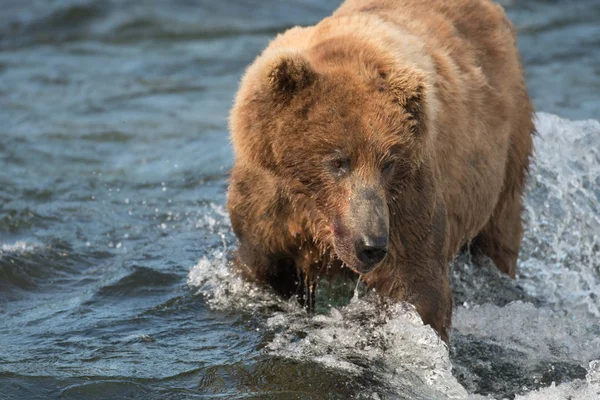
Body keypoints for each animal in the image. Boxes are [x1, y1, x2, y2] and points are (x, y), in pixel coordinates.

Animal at [226, 0, 536, 344]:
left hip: (506, 158)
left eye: (388, 163)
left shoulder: (405, 202)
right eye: (338, 161)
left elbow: (418, 287)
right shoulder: (269, 205)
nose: (371, 246)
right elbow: (262, 266)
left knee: (499, 235)